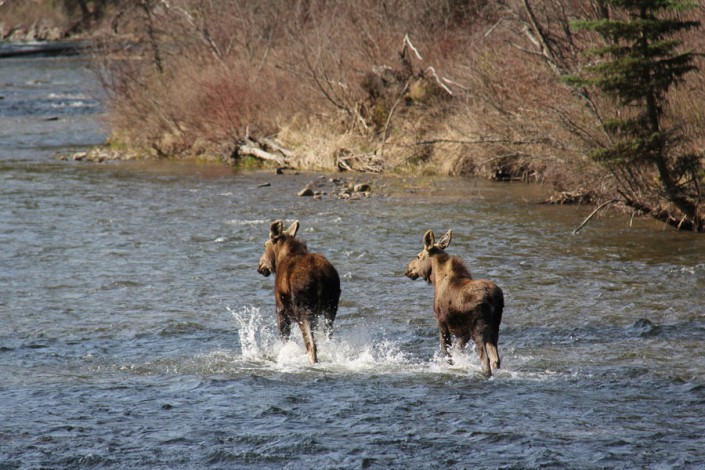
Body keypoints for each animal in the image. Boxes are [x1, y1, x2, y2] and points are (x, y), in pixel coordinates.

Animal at [258, 218, 340, 366]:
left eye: (264, 245)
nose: (260, 267)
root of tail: (320, 277)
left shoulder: (280, 307)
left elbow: (284, 338)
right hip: (331, 307)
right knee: (327, 339)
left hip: (304, 310)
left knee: (311, 345)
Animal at [404, 229, 504, 376]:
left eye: (418, 256)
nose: (408, 270)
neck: (436, 279)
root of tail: (493, 299)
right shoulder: (464, 332)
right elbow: (457, 349)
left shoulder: (441, 321)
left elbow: (446, 351)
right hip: (495, 327)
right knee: (496, 360)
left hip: (478, 329)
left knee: (485, 360)